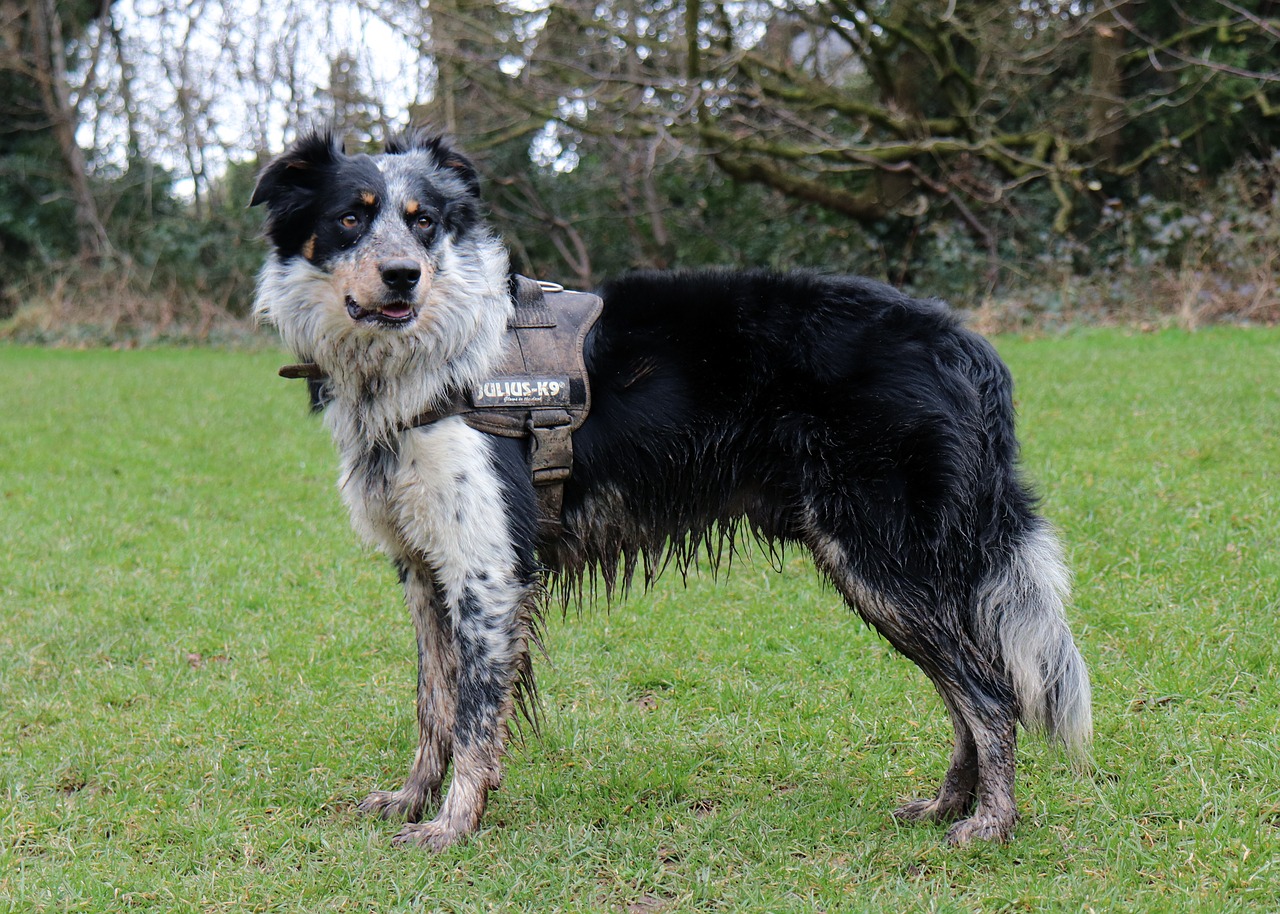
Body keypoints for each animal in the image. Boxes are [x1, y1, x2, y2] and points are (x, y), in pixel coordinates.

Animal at [249, 128, 1090, 844]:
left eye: (423, 224)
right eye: (352, 218)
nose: (403, 277)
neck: (431, 355)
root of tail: (962, 342)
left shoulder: (489, 572)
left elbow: (476, 719)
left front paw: (453, 826)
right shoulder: (427, 570)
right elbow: (434, 706)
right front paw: (412, 799)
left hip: (884, 562)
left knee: (991, 692)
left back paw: (991, 824)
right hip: (897, 573)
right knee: (966, 691)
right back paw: (951, 803)